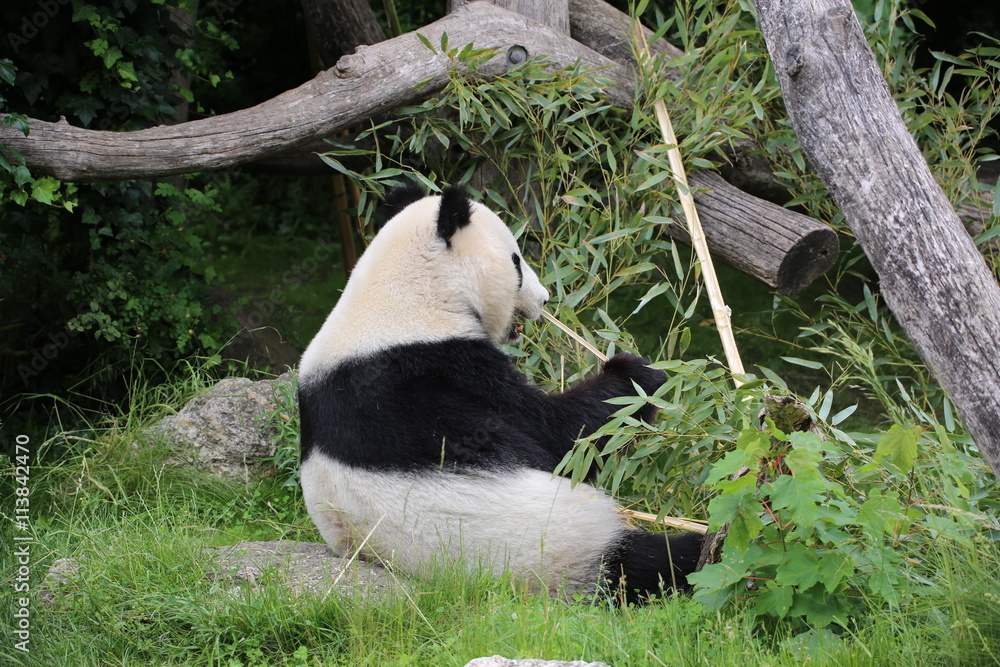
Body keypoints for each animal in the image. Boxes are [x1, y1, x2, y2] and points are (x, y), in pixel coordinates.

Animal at [298, 183, 704, 604]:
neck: (402, 296)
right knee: (643, 564)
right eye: (517, 261)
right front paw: (636, 374)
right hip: (563, 543)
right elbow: (560, 438)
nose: (545, 299)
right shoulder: (447, 368)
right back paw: (697, 550)